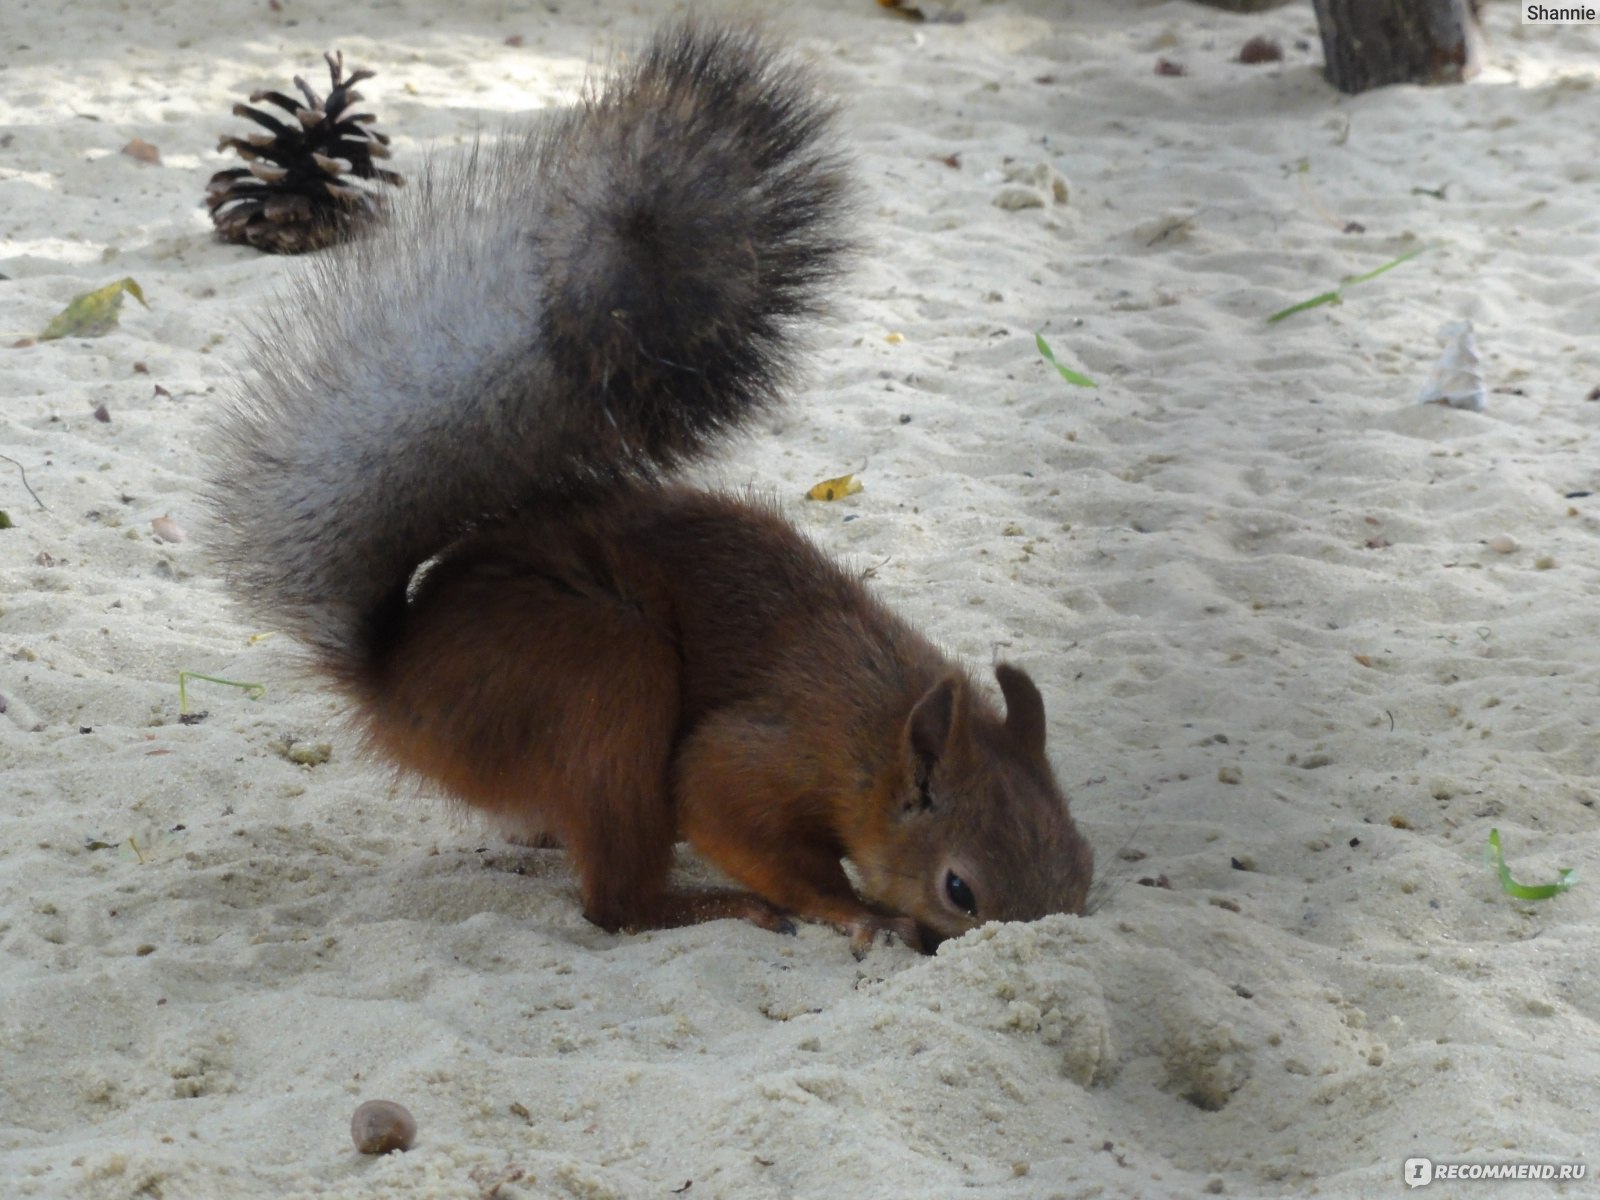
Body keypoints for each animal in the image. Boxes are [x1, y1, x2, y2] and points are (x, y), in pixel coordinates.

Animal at [209, 21, 1088, 960]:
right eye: (960, 889)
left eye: (1082, 866)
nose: (1034, 946)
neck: (879, 725)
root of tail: (395, 681)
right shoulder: (764, 750)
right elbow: (727, 810)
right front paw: (859, 913)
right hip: (602, 668)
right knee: (616, 904)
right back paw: (706, 906)